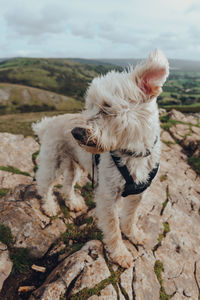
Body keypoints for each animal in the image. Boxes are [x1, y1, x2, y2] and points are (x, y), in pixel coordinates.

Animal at [32, 50, 169, 268]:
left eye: (107, 107)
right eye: (89, 106)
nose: (75, 132)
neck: (133, 153)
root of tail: (46, 123)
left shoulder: (138, 194)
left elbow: (130, 217)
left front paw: (134, 234)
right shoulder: (108, 196)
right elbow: (113, 228)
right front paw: (120, 254)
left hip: (73, 166)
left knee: (68, 186)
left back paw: (73, 202)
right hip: (53, 162)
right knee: (44, 185)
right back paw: (50, 207)